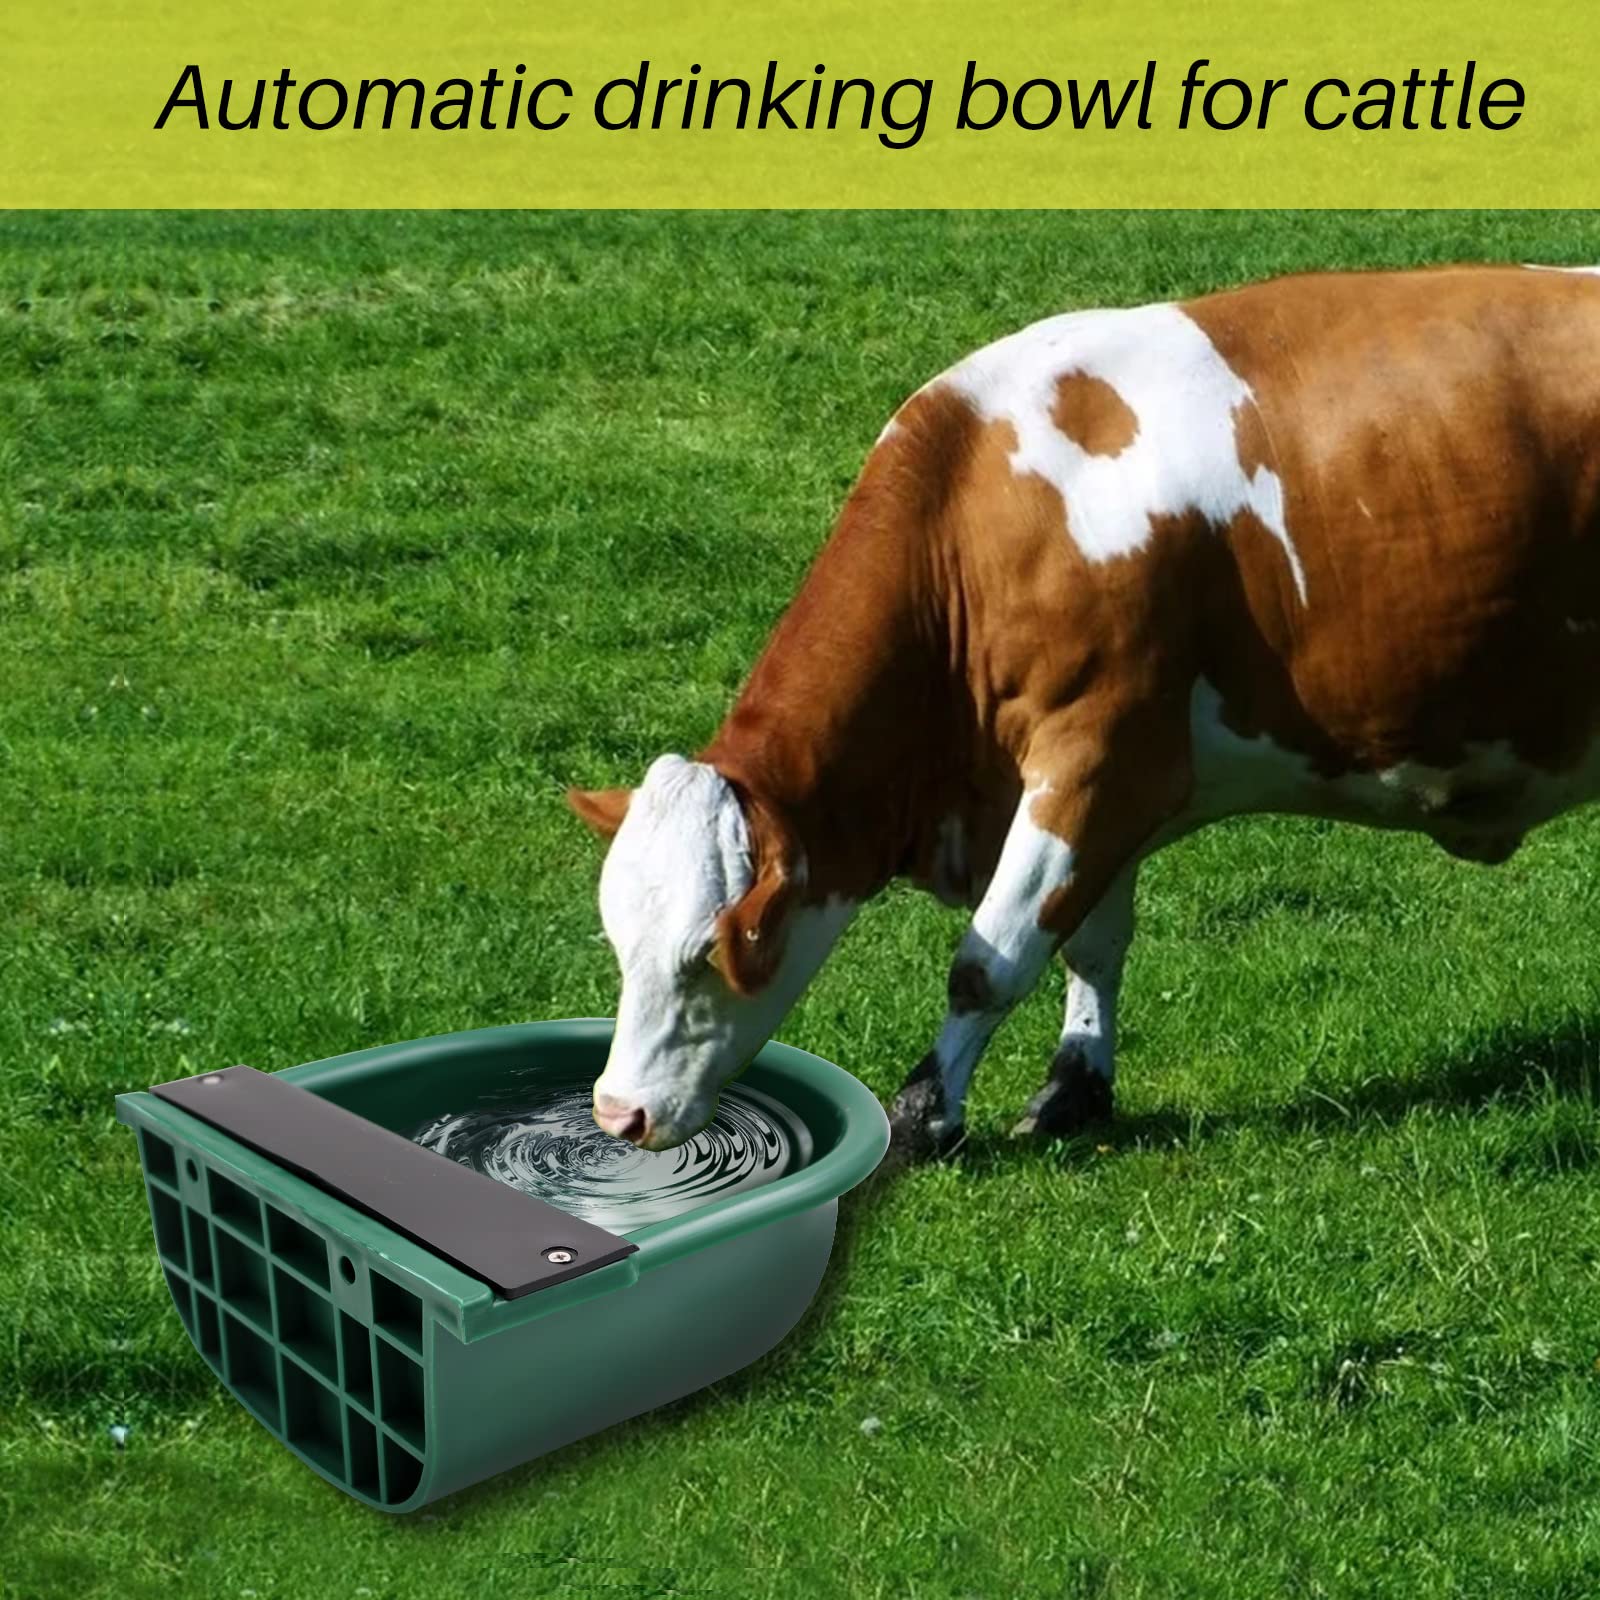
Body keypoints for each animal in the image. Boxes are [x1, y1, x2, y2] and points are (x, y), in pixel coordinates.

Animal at [568, 263, 1600, 1159]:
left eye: (714, 949)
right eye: (617, 939)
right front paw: (1075, 1086)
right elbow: (1090, 942)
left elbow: (989, 960)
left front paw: (924, 1114)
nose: (618, 1114)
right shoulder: (1103, 782)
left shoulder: (1096, 758)